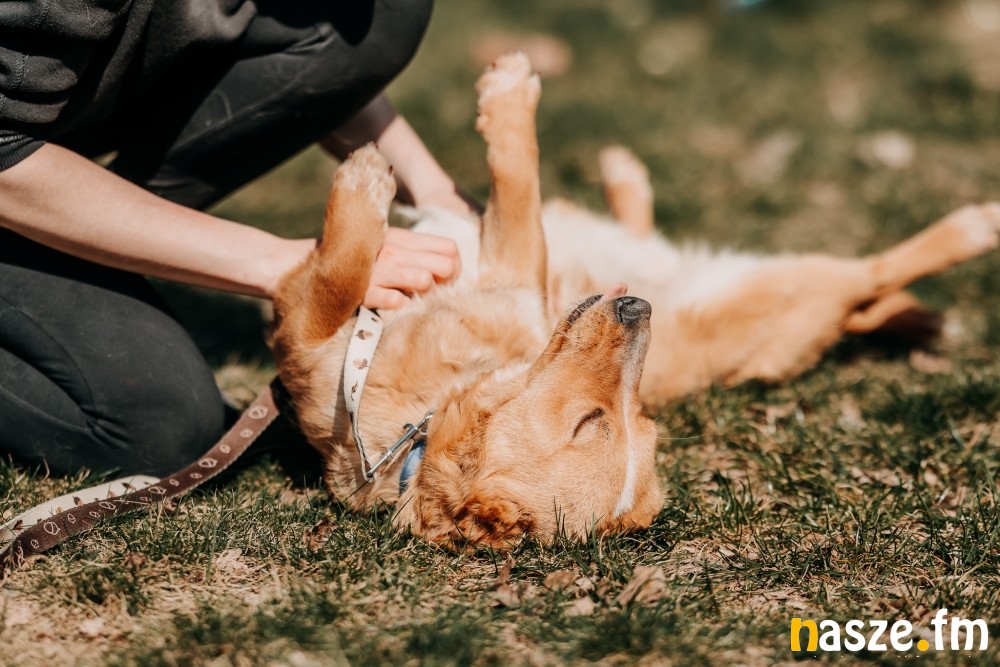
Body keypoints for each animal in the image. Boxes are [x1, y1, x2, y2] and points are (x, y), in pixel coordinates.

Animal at [271, 53, 1000, 548]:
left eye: (623, 420)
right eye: (601, 421)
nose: (636, 309)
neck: (418, 425)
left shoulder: (502, 268)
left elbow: (505, 185)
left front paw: (380, 172)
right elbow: (352, 267)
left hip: (794, 286)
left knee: (873, 272)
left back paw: (974, 227)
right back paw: (625, 176)